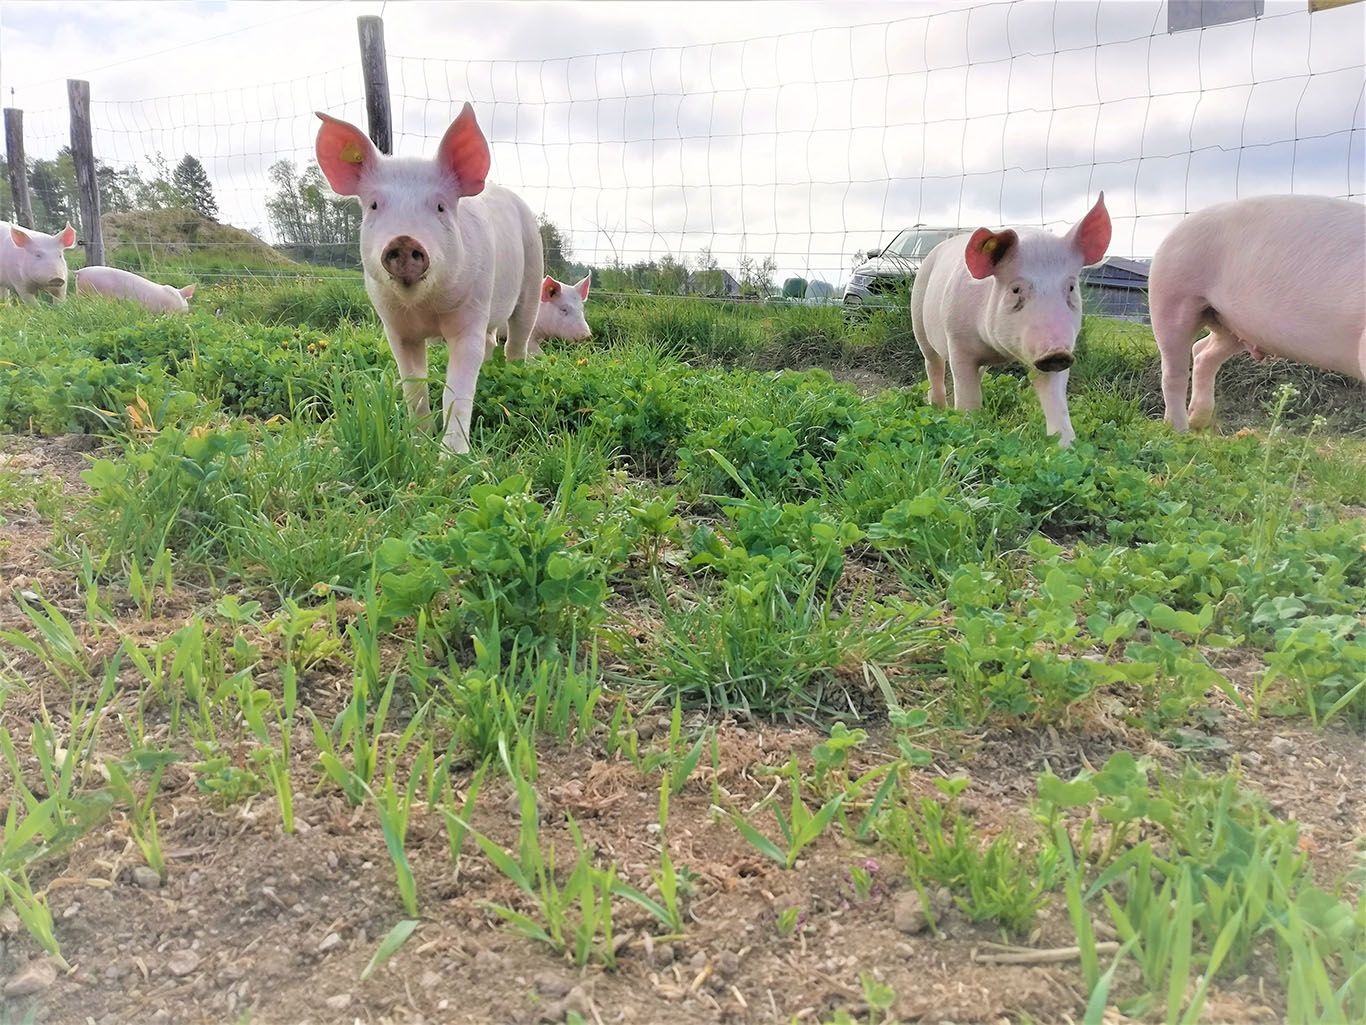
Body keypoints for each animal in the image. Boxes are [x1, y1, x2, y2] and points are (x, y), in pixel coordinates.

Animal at [314, 103, 543, 454]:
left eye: (440, 207)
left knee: (517, 337)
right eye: (374, 205)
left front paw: (451, 459)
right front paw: (418, 444)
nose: (403, 240)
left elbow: (458, 390)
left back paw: (513, 377)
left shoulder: (471, 314)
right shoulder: (395, 328)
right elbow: (413, 385)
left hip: (532, 274)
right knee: (492, 342)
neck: (424, 308)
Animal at [910, 194, 1112, 448]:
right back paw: (937, 407)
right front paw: (969, 428)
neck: (999, 352)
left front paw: (1066, 445)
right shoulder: (957, 342)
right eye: (1016, 290)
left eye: (1071, 288)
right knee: (933, 365)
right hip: (919, 321)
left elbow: (1055, 397)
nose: (1057, 353)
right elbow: (966, 392)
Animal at [1148, 195, 1366, 432]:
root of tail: (1182, 224)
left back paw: (1199, 422)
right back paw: (1179, 430)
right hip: (1172, 292)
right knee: (1173, 371)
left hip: (1231, 324)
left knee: (1202, 351)